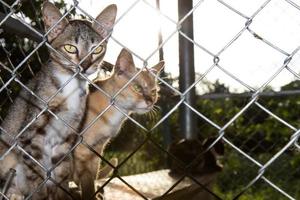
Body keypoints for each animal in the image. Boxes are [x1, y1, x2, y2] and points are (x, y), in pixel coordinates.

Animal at [0, 1, 116, 200]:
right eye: (70, 48)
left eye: (97, 49)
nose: (85, 66)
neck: (70, 87)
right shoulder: (31, 136)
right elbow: (36, 176)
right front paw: (40, 193)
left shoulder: (66, 138)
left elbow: (60, 175)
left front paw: (62, 193)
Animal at [73, 48, 164, 200]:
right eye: (137, 88)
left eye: (154, 92)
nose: (150, 102)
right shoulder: (82, 149)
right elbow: (87, 182)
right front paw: (89, 194)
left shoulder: (98, 148)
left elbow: (92, 176)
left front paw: (94, 193)